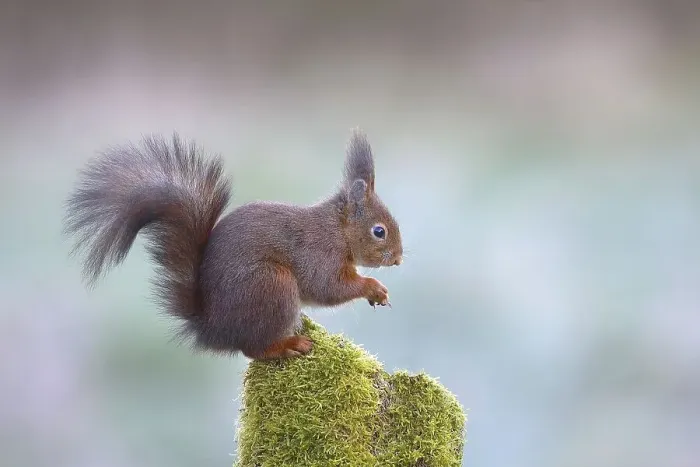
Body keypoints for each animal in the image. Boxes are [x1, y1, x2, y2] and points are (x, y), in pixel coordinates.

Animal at [64, 129, 403, 360]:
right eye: (379, 231)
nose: (399, 259)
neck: (338, 230)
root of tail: (214, 329)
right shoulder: (319, 254)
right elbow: (329, 287)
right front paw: (373, 287)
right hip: (273, 285)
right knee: (254, 349)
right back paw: (289, 345)